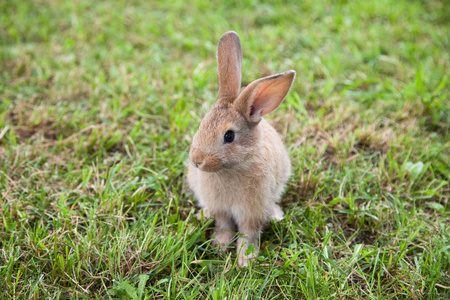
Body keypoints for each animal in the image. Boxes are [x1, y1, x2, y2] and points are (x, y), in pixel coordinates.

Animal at [186, 31, 296, 268]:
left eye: (229, 136)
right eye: (201, 124)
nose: (197, 160)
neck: (230, 168)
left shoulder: (252, 212)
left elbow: (248, 232)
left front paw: (246, 259)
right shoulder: (221, 209)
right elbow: (224, 226)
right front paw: (219, 246)